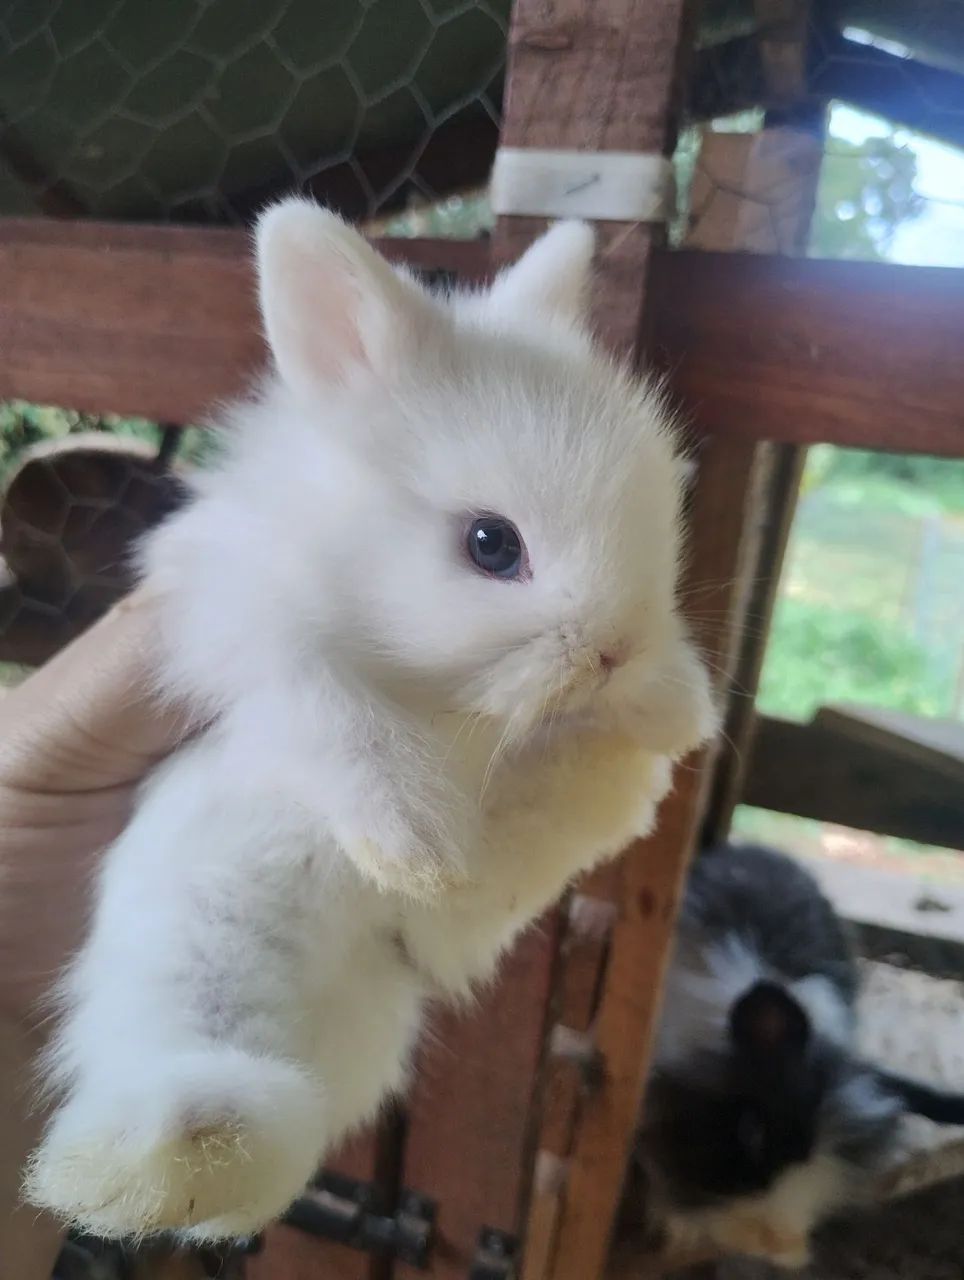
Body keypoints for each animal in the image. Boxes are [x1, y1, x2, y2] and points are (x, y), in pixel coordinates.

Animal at [25, 201, 717, 1244]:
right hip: (191, 951)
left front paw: (679, 703)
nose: (613, 653)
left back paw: (612, 776)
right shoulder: (238, 628)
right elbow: (329, 711)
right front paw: (412, 838)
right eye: (491, 545)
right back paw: (156, 1160)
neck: (446, 707)